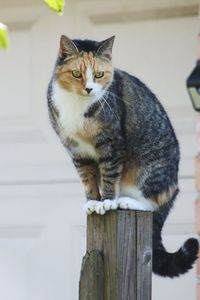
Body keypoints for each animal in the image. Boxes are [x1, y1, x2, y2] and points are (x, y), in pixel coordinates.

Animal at [47, 34, 199, 276]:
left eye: (99, 74)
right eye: (77, 73)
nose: (90, 89)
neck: (77, 105)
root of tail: (174, 187)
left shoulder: (112, 143)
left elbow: (109, 174)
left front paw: (107, 202)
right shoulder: (77, 151)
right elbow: (87, 178)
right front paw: (92, 201)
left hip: (147, 171)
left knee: (153, 205)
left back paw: (127, 202)